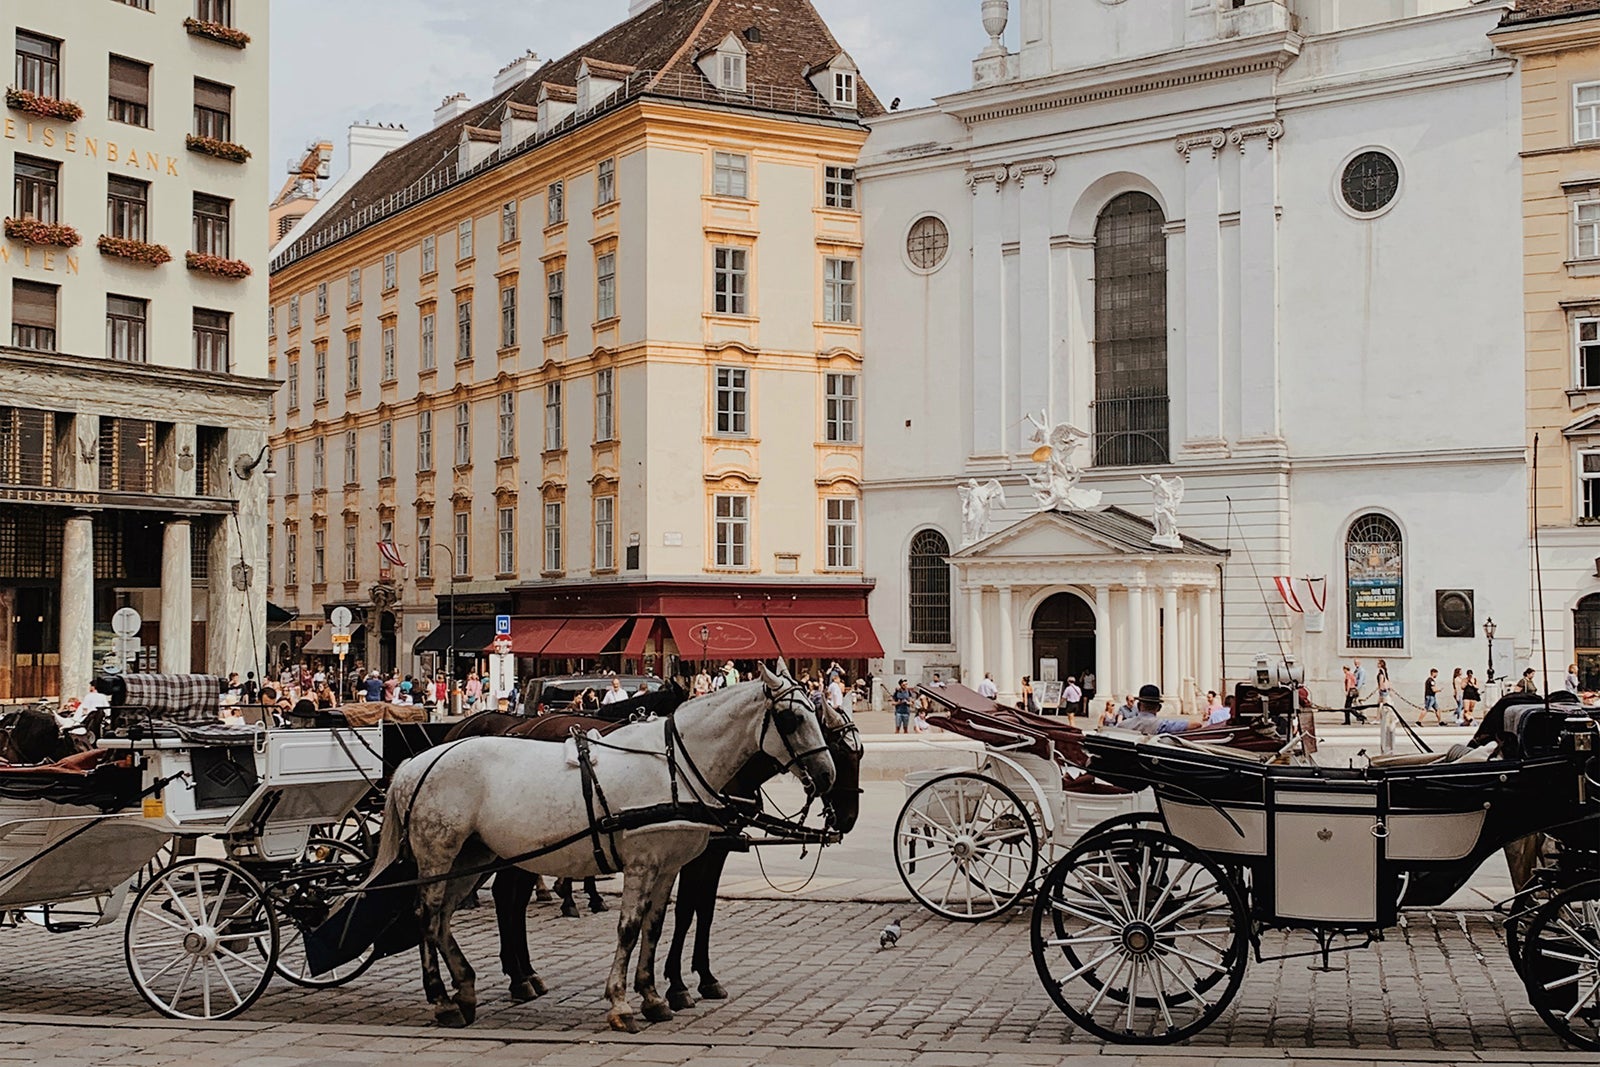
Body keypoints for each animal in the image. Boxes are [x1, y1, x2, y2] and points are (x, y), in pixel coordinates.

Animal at [368, 662, 832, 1030]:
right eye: (792, 719)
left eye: (817, 714)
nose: (827, 774)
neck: (673, 766)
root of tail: (417, 763)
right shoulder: (642, 862)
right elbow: (629, 928)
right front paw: (622, 1002)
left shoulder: (667, 865)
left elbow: (654, 926)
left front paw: (652, 996)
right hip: (438, 854)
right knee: (427, 916)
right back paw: (441, 998)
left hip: (472, 857)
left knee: (444, 918)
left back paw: (465, 988)